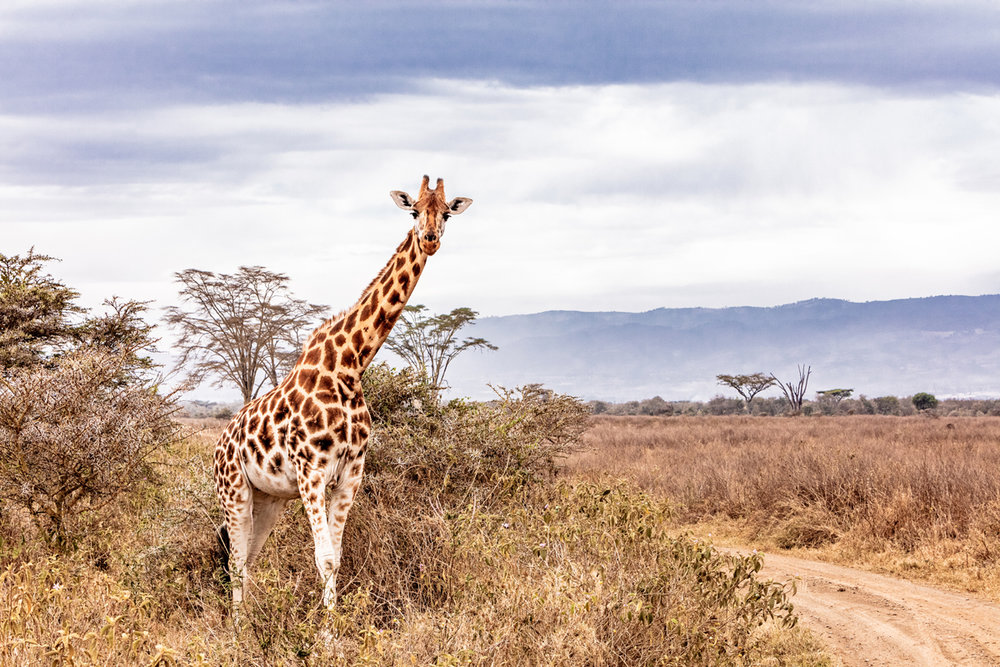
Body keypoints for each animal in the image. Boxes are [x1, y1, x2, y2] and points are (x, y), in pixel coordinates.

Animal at [215, 175, 472, 612]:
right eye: (414, 211)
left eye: (447, 213)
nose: (430, 239)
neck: (350, 367)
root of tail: (217, 445)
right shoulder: (311, 472)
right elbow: (325, 558)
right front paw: (328, 630)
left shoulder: (352, 471)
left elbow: (337, 557)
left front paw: (332, 624)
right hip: (234, 490)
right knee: (235, 560)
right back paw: (236, 626)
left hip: (268, 498)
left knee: (249, 558)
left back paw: (248, 619)